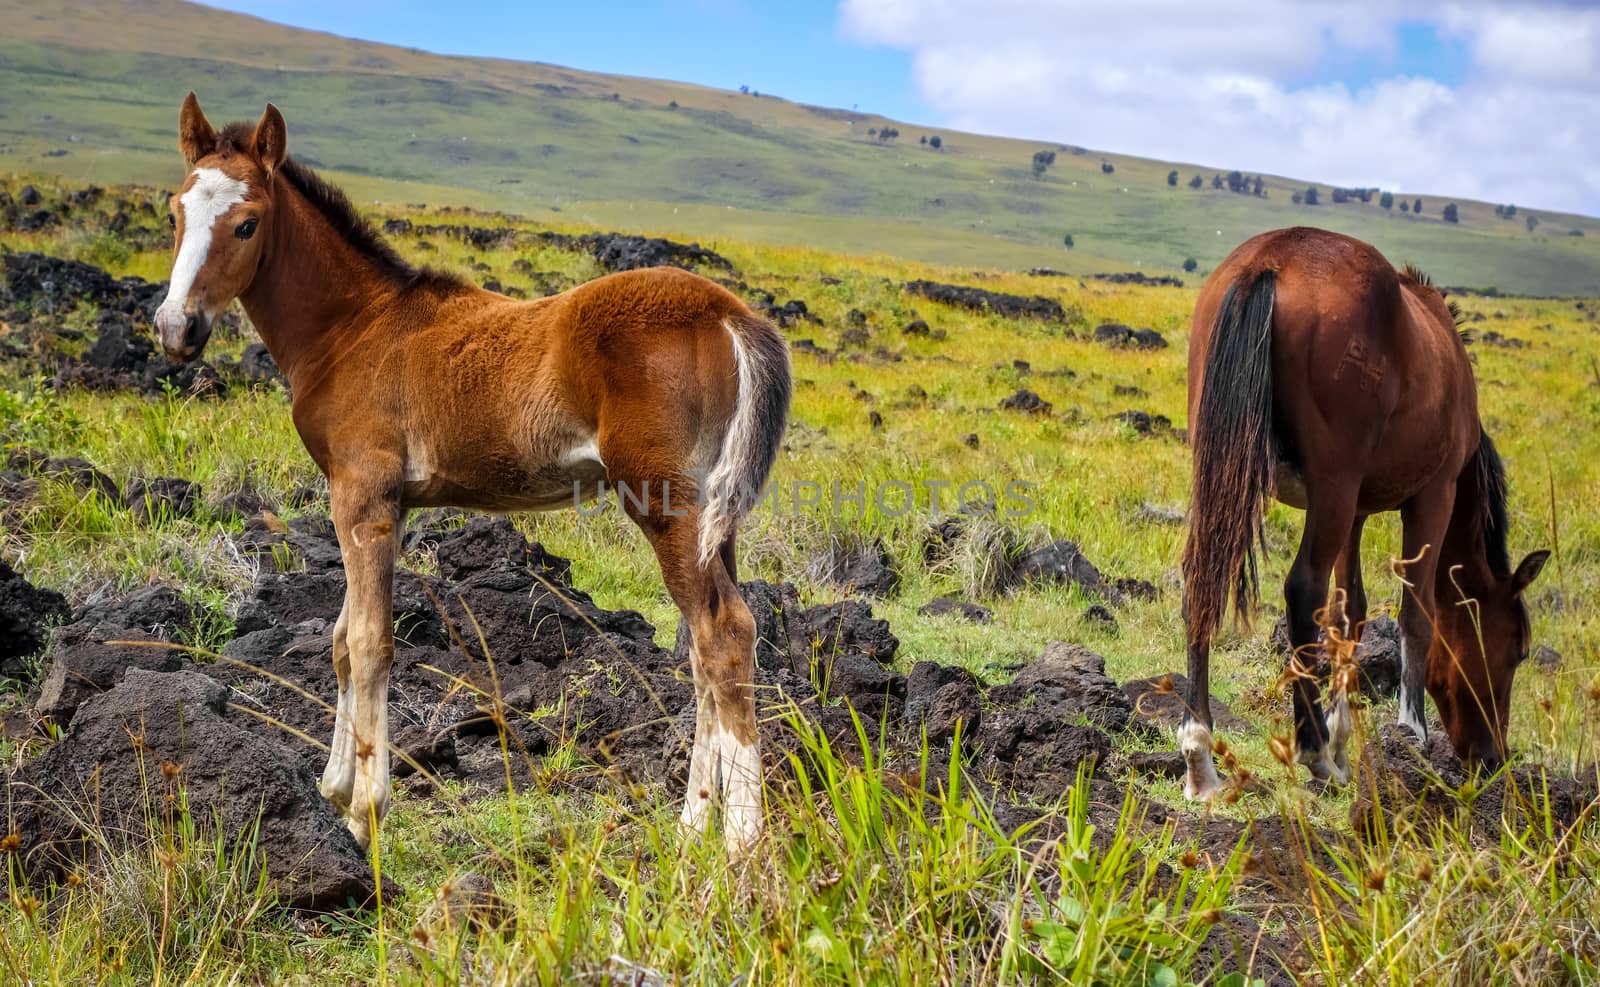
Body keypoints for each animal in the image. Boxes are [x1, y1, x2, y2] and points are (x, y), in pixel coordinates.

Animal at [156, 96, 793, 851]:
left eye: (247, 221)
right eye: (175, 211)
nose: (175, 328)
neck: (354, 329)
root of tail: (733, 314)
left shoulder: (361, 495)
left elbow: (370, 642)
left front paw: (365, 814)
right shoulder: (390, 506)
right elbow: (341, 641)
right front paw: (335, 787)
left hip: (665, 502)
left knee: (723, 636)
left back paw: (742, 844)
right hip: (716, 516)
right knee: (703, 645)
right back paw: (693, 825)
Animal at [1184, 227, 1542, 796]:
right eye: (1518, 648)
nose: (1491, 758)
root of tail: (1269, 260)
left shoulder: (1357, 512)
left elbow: (1348, 612)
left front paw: (1341, 734)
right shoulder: (1433, 497)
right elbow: (1416, 613)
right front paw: (1409, 732)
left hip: (1224, 474)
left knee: (1202, 580)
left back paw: (1201, 755)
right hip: (1333, 488)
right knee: (1301, 589)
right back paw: (1312, 753)